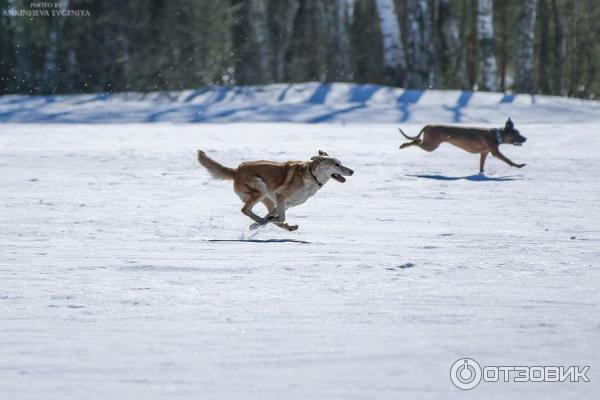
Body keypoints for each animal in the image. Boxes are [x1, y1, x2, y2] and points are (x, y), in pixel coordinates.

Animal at [199, 150, 354, 231]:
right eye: (337, 164)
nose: (352, 171)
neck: (312, 175)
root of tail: (237, 170)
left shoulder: (286, 203)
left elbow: (275, 217)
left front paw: (263, 222)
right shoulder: (280, 196)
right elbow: (279, 217)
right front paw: (263, 222)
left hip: (267, 198)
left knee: (262, 213)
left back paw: (280, 225)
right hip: (260, 190)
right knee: (245, 210)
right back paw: (262, 221)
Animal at [400, 115, 528, 172]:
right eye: (517, 134)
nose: (526, 139)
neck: (496, 135)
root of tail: (428, 125)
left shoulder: (484, 153)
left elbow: (482, 165)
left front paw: (481, 174)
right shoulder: (495, 152)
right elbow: (508, 160)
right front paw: (518, 165)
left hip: (430, 144)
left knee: (417, 141)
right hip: (431, 146)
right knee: (416, 141)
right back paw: (404, 145)